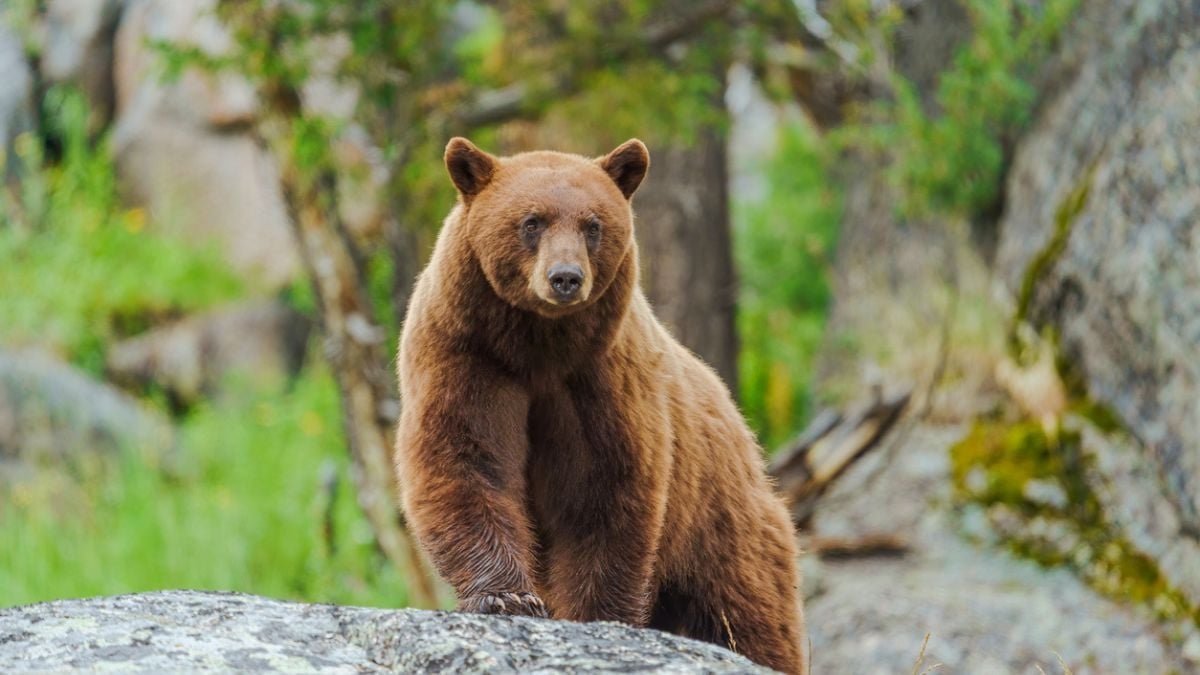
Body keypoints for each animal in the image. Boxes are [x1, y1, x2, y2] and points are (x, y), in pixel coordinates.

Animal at [396, 136, 806, 672]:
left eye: (593, 225)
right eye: (532, 222)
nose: (565, 278)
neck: (538, 346)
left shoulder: (601, 380)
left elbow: (603, 489)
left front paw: (596, 614)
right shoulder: (467, 357)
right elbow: (464, 459)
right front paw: (506, 597)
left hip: (722, 528)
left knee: (747, 616)